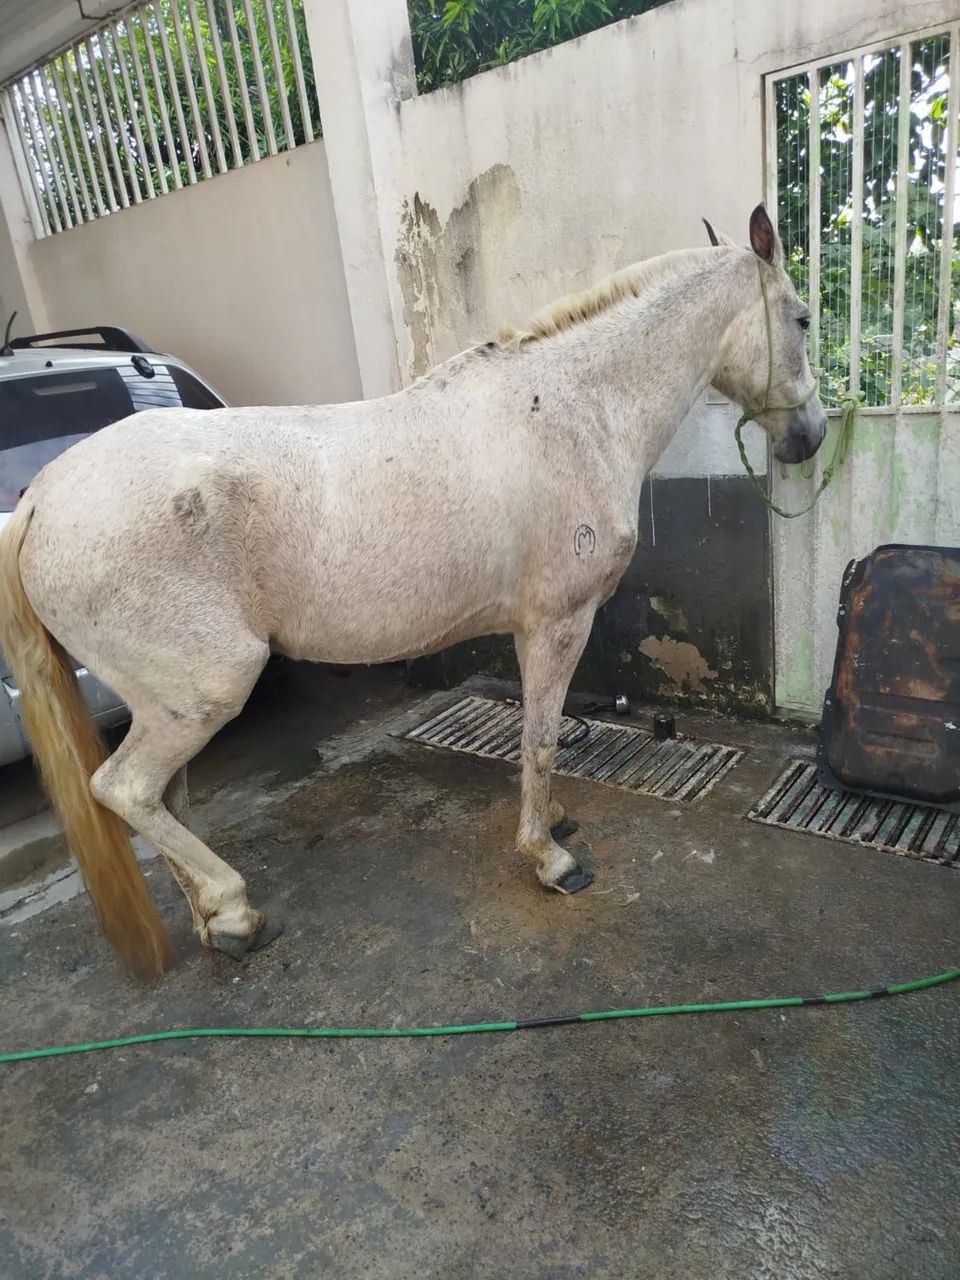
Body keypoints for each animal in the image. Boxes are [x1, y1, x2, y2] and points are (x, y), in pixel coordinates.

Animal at [0, 205, 826, 979]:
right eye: (802, 318)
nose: (811, 437)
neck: (572, 411)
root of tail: (42, 496)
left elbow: (540, 734)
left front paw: (553, 821)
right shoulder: (558, 621)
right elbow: (542, 737)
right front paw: (549, 858)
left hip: (168, 701)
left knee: (162, 799)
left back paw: (216, 920)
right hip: (206, 690)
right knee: (126, 790)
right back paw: (234, 907)